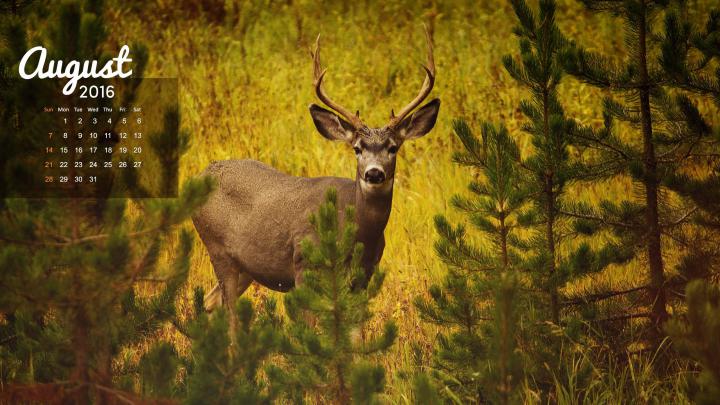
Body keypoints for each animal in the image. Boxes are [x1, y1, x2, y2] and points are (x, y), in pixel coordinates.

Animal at [192, 29, 439, 329]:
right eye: (357, 148)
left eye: (393, 147)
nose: (374, 173)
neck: (356, 231)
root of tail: (201, 174)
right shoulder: (303, 265)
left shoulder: (363, 277)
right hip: (217, 249)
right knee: (228, 314)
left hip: (246, 266)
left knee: (210, 303)